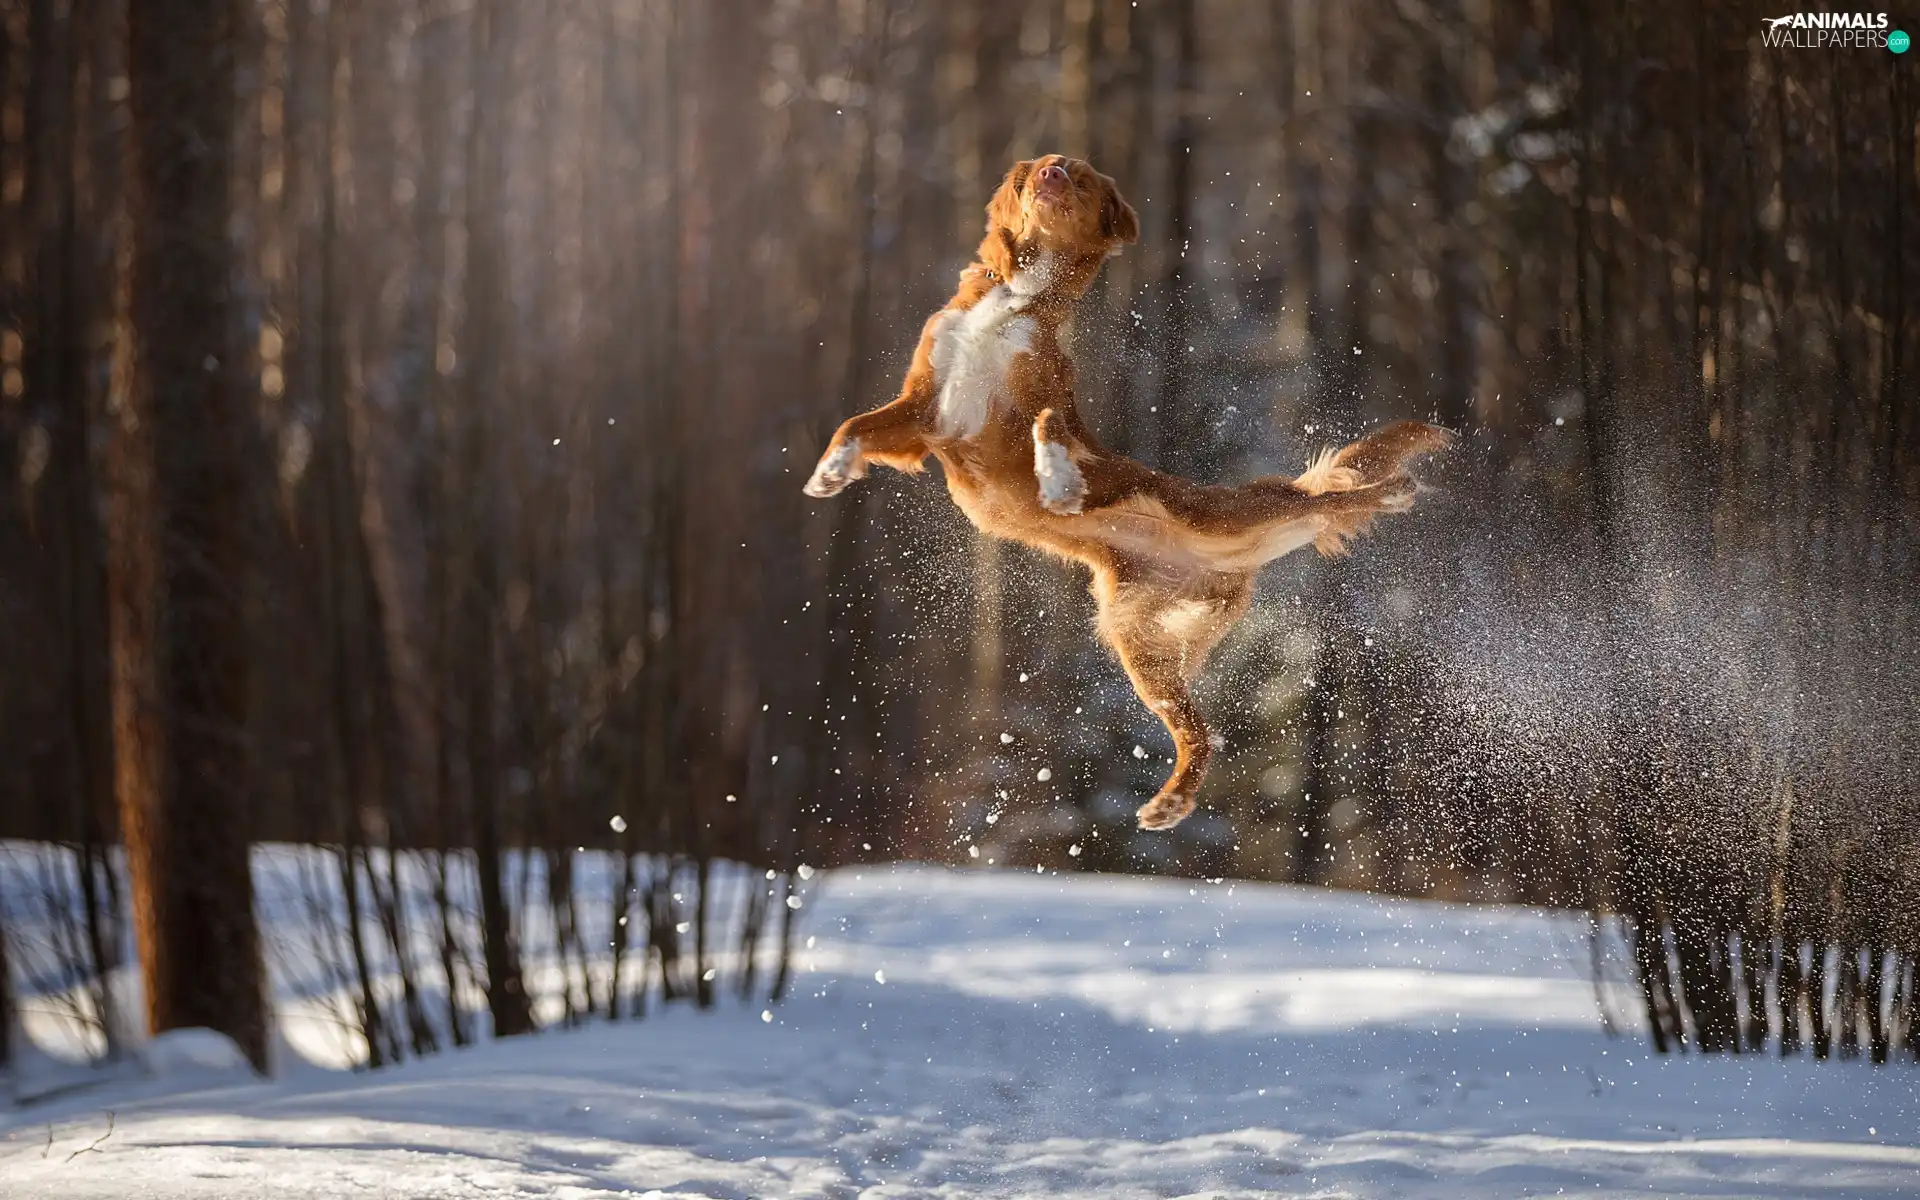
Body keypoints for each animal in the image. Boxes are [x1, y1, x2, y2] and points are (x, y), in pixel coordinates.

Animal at [802, 156, 1443, 833]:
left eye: (1080, 178)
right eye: (1042, 168)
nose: (1053, 175)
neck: (1018, 298)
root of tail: (1223, 566)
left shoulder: (1039, 396)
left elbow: (1048, 425)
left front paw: (1059, 482)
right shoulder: (926, 410)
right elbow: (855, 425)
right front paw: (830, 472)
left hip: (1220, 517)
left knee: (1320, 502)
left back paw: (1394, 490)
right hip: (1143, 650)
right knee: (1200, 733)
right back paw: (1171, 800)